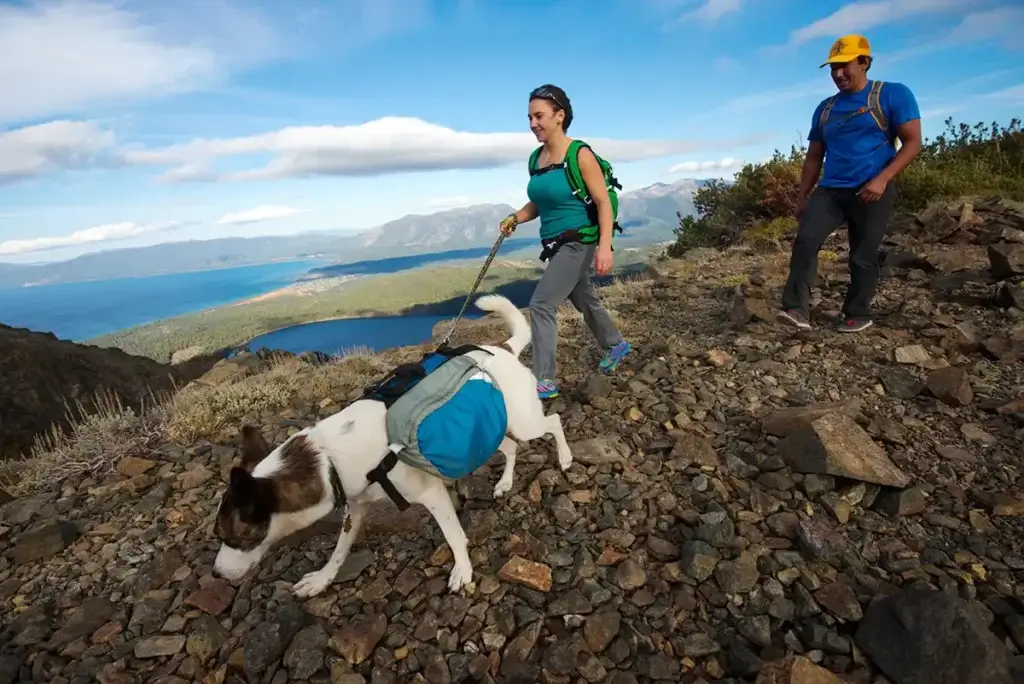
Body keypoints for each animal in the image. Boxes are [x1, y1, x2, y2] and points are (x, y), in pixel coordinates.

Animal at [210, 294, 573, 597]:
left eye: (232, 538)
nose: (215, 574)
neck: (327, 461)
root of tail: (503, 349)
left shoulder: (431, 494)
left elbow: (454, 536)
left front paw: (463, 571)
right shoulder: (355, 508)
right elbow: (339, 550)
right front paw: (322, 579)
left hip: (524, 421)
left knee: (553, 422)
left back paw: (566, 458)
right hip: (491, 428)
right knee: (511, 449)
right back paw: (505, 483)